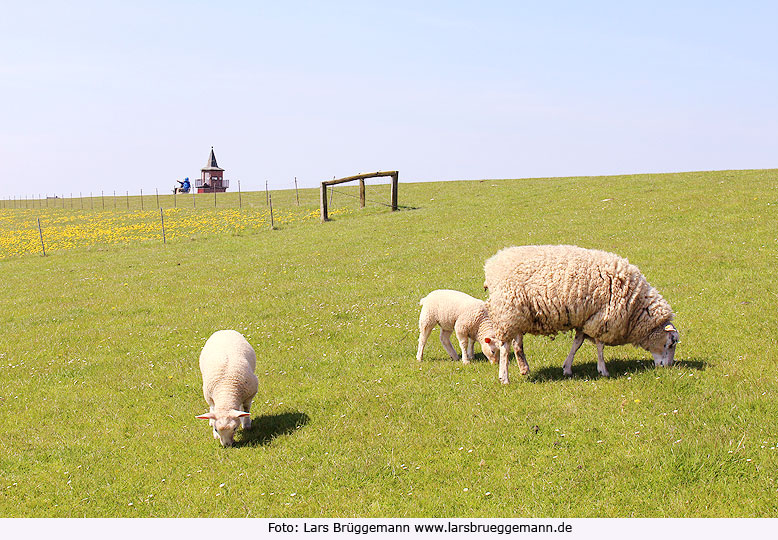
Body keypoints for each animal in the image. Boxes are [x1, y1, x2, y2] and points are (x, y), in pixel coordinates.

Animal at [482, 245, 676, 384]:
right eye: (670, 344)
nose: (669, 367)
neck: (635, 303)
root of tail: (492, 264)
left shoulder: (586, 318)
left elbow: (578, 343)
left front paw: (567, 368)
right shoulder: (602, 318)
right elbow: (600, 346)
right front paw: (603, 370)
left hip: (518, 315)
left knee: (517, 344)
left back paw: (524, 368)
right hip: (506, 312)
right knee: (505, 347)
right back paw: (504, 377)